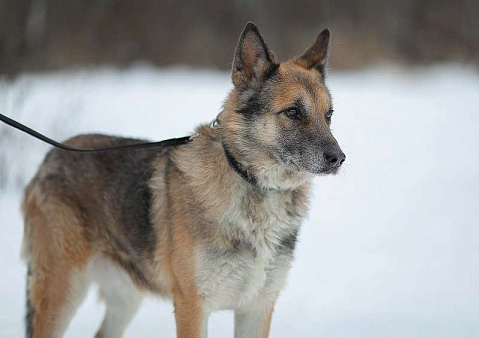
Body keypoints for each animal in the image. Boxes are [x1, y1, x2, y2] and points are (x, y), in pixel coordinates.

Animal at [21, 22, 344, 336]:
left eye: (328, 115)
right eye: (293, 112)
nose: (339, 158)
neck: (252, 184)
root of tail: (49, 157)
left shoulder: (257, 309)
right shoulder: (193, 307)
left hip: (125, 298)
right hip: (64, 292)